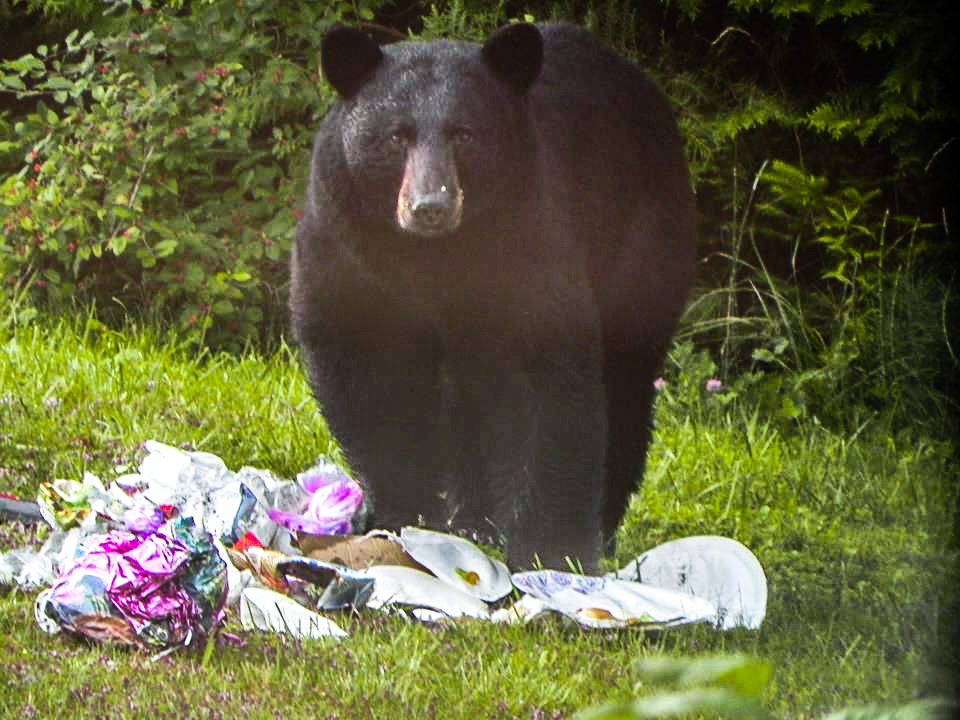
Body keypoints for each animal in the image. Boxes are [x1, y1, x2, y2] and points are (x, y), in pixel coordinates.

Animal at [288, 22, 692, 572]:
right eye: (395, 135)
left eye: (464, 134)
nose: (430, 206)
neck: (432, 259)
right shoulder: (347, 254)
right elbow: (366, 373)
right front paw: (401, 514)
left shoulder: (532, 242)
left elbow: (550, 385)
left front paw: (551, 550)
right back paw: (474, 519)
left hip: (643, 239)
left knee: (624, 383)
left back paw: (602, 527)